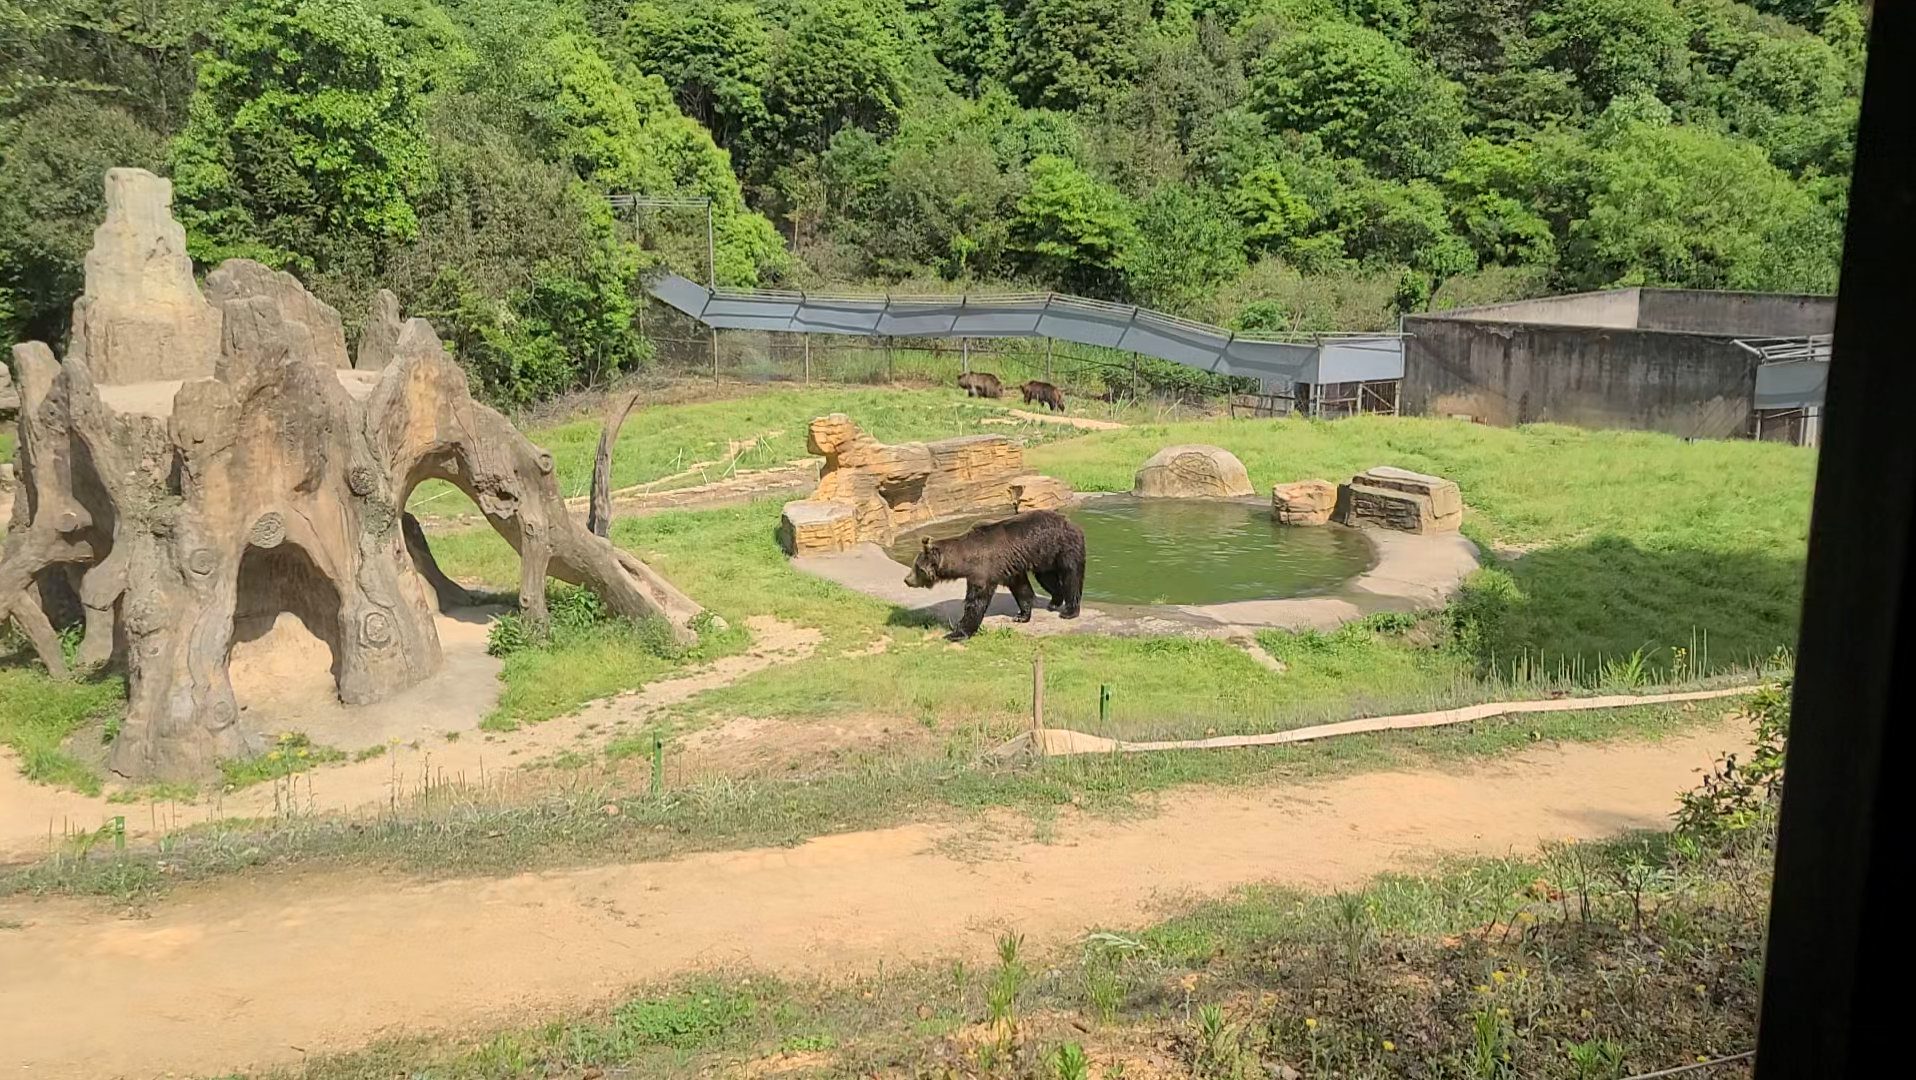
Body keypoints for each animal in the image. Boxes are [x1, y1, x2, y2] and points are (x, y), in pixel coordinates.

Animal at [904, 509, 1088, 635]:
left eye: (917, 567)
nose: (907, 580)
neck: (966, 559)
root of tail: (1073, 523)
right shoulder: (1010, 568)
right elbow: (1022, 590)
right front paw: (1021, 615)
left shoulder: (984, 570)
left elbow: (976, 601)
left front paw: (958, 631)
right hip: (1045, 557)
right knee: (1047, 578)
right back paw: (1054, 601)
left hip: (1065, 548)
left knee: (1071, 577)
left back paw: (1069, 611)